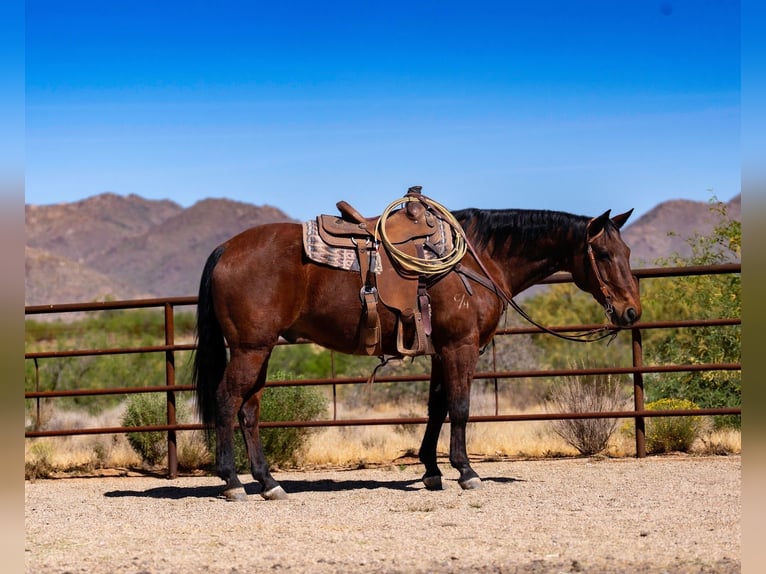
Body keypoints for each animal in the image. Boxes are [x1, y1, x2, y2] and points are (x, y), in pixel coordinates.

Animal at [192, 204, 641, 501]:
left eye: (627, 253)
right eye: (603, 254)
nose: (630, 311)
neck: (478, 260)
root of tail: (225, 249)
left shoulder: (442, 351)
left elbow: (437, 408)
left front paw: (431, 470)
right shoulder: (461, 347)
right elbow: (460, 407)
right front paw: (466, 471)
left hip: (261, 349)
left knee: (250, 410)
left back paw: (269, 483)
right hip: (250, 349)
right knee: (227, 401)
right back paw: (233, 482)